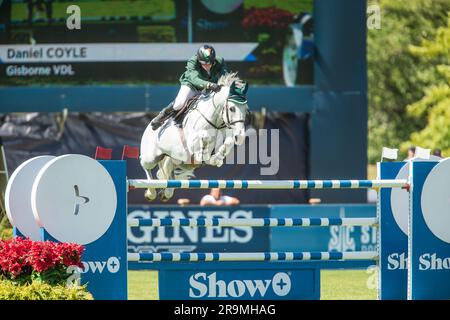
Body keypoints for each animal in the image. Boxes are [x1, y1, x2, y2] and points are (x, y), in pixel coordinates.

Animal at [139, 73, 248, 202]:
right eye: (232, 108)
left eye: (246, 109)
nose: (240, 136)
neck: (215, 122)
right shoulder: (193, 143)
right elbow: (203, 144)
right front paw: (209, 157)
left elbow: (228, 143)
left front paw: (217, 159)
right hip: (151, 157)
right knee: (145, 165)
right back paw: (150, 193)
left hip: (175, 160)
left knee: (169, 175)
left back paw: (165, 193)